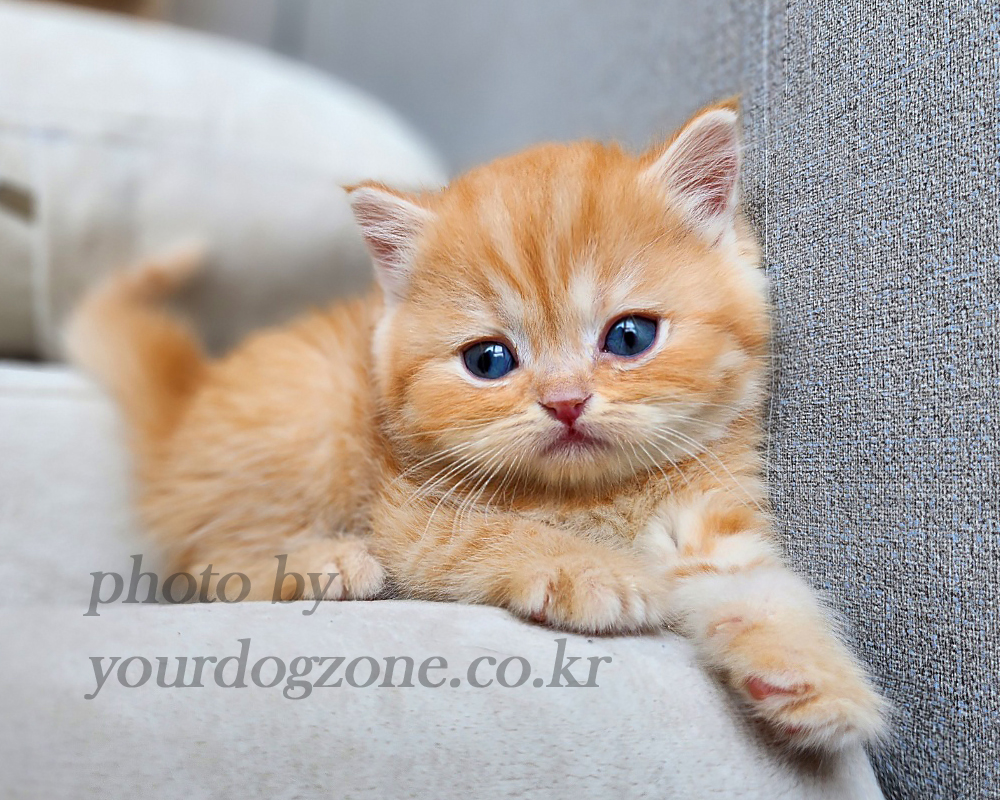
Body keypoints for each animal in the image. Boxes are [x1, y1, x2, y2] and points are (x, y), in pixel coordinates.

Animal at [67, 98, 887, 751]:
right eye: (489, 360)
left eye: (629, 338)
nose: (565, 401)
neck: (593, 497)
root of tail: (186, 401)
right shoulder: (413, 516)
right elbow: (502, 535)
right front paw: (600, 574)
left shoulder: (710, 519)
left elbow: (761, 590)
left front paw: (812, 677)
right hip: (306, 422)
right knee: (206, 565)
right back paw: (326, 562)